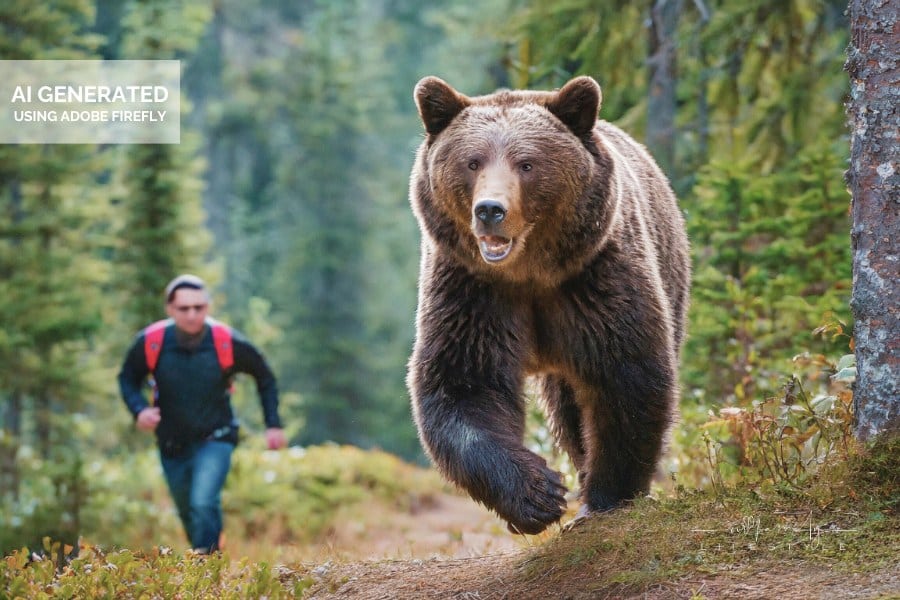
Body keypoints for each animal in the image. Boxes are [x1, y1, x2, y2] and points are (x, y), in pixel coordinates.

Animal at [406, 75, 691, 535]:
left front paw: (606, 498)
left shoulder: (596, 279)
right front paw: (537, 493)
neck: (530, 273)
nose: (490, 210)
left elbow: (626, 376)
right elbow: (464, 384)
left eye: (526, 163)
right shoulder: (472, 291)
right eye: (472, 162)